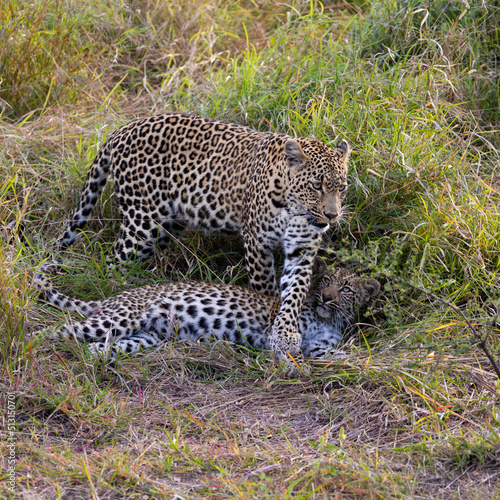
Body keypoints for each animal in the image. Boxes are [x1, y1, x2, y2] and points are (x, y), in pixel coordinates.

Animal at [35, 260, 378, 370]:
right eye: (325, 280)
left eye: (346, 288)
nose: (325, 296)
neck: (327, 319)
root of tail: (113, 296)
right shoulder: (276, 333)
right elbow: (288, 350)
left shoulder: (318, 346)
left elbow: (330, 354)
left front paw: (358, 360)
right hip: (119, 318)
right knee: (55, 331)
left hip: (144, 337)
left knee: (98, 346)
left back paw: (95, 361)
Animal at [55, 112, 352, 372]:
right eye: (316, 186)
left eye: (342, 187)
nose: (332, 215)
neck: (293, 208)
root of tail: (121, 129)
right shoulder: (258, 244)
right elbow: (266, 291)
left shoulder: (301, 249)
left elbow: (295, 294)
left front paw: (287, 336)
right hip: (143, 224)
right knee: (115, 264)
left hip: (167, 226)